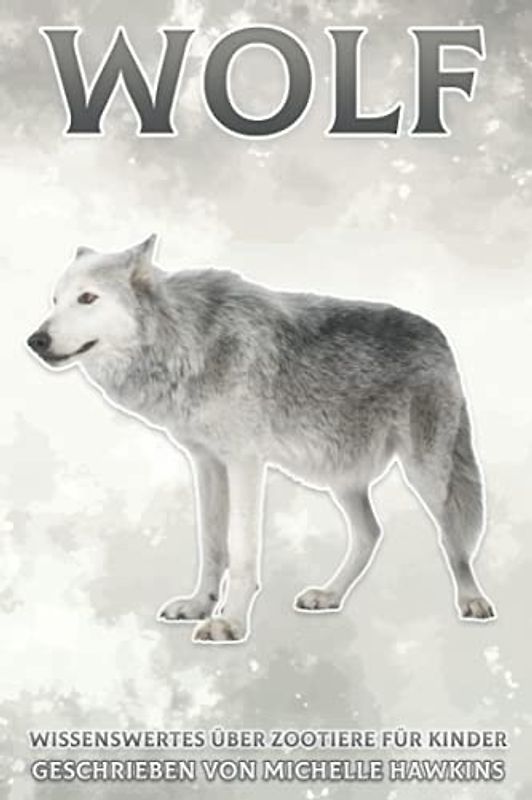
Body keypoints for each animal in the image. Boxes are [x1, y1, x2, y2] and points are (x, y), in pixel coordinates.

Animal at [27, 235, 495, 642]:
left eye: (88, 298)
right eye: (55, 301)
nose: (36, 340)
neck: (188, 341)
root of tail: (439, 333)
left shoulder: (245, 463)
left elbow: (241, 550)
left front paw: (229, 623)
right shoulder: (207, 463)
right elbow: (211, 544)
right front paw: (199, 605)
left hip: (427, 474)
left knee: (453, 538)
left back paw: (473, 600)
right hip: (340, 477)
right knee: (370, 533)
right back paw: (329, 595)